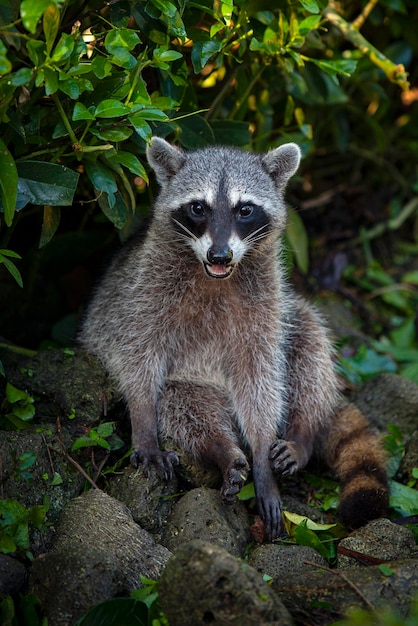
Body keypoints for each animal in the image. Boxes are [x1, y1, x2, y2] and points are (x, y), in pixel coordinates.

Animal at [81, 136, 388, 536]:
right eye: (198, 207)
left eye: (245, 209)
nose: (220, 254)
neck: (215, 276)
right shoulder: (142, 294)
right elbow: (137, 356)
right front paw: (143, 420)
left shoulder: (265, 304)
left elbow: (261, 379)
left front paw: (262, 457)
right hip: (193, 379)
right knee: (184, 405)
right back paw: (222, 449)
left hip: (288, 314)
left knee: (308, 341)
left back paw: (301, 434)